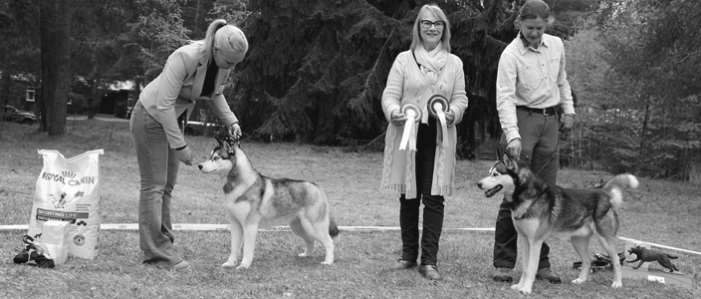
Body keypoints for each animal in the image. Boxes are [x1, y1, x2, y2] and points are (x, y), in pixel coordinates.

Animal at [197, 136, 340, 270]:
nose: (199, 165)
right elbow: (234, 248)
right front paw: (230, 263)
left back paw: (328, 261)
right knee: (310, 241)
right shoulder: (235, 224)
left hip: (314, 226)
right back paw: (306, 255)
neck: (240, 184)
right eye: (209, 156)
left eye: (216, 158)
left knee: (329, 242)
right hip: (299, 227)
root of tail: (316, 186)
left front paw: (244, 265)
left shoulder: (250, 225)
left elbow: (247, 250)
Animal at [478, 162, 636, 296]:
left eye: (495, 174)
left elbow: (531, 268)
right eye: (488, 173)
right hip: (577, 241)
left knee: (616, 260)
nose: (478, 184)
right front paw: (520, 286)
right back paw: (581, 280)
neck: (527, 197)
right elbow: (525, 268)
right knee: (588, 260)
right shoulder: (524, 240)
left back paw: (617, 283)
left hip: (605, 240)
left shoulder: (535, 242)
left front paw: (527, 289)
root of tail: (603, 192)